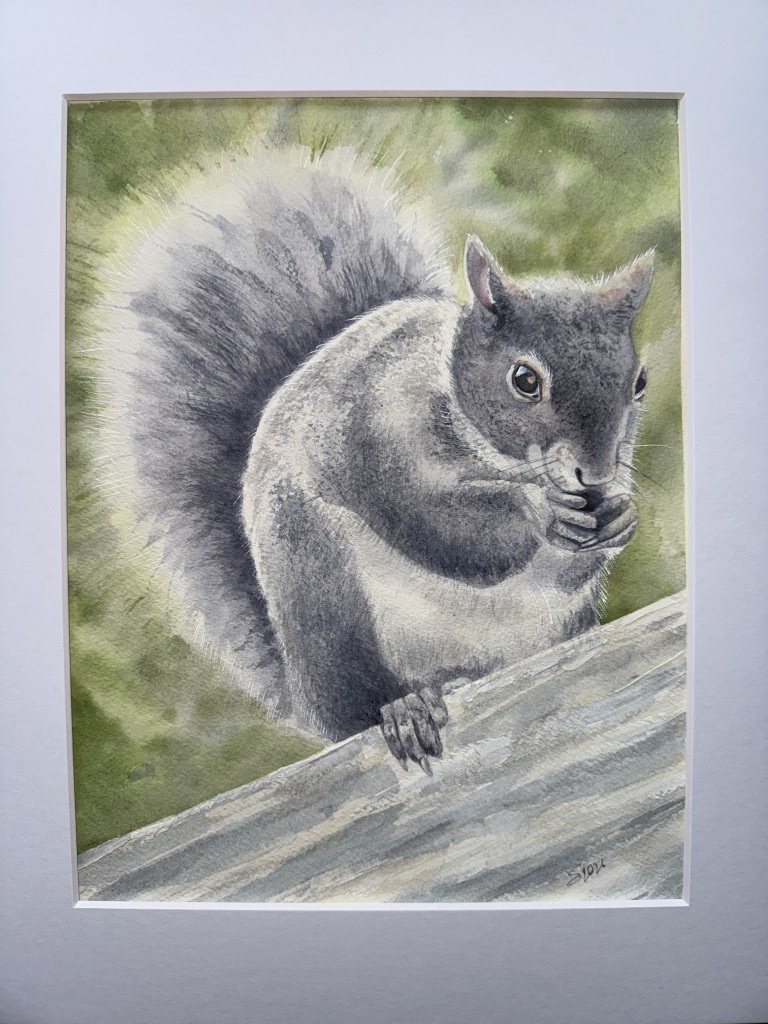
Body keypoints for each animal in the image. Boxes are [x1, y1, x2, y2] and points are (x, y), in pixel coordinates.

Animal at [101, 145, 653, 772]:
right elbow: (442, 527)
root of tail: (304, 693)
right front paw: (538, 514)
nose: (598, 475)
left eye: (639, 382)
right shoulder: (374, 431)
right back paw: (403, 709)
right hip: (321, 590)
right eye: (524, 380)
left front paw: (621, 516)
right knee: (359, 709)